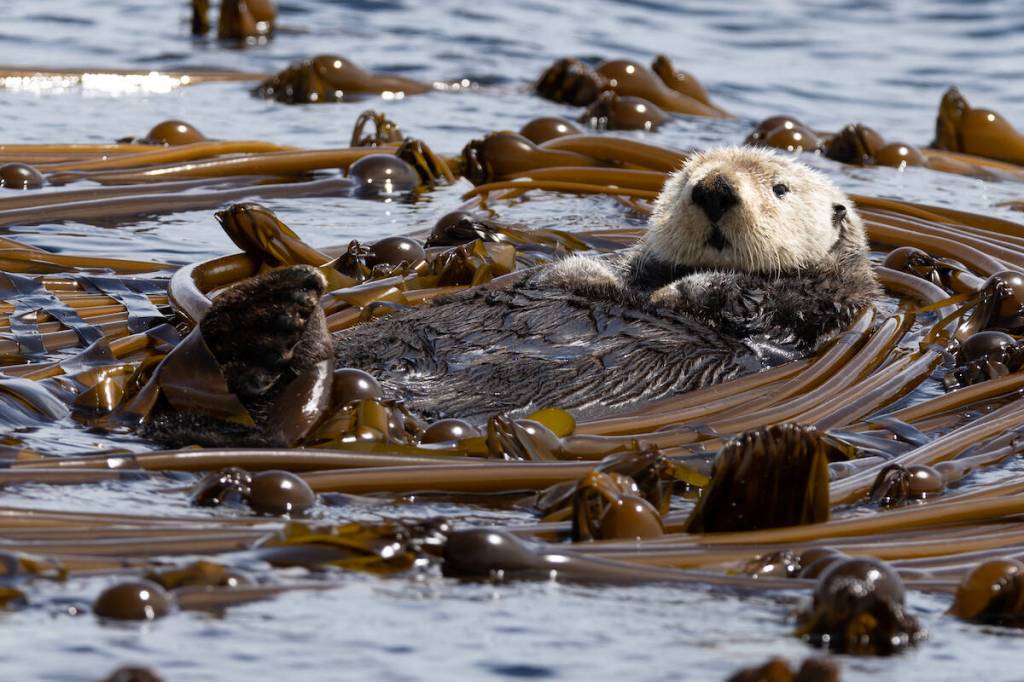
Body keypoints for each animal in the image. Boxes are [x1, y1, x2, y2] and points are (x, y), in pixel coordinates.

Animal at [149, 147, 880, 445]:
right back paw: (264, 317)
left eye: (780, 188)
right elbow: (580, 275)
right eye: (686, 177)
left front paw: (684, 291)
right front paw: (596, 278)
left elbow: (743, 304)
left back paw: (269, 332)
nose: (715, 189)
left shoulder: (817, 310)